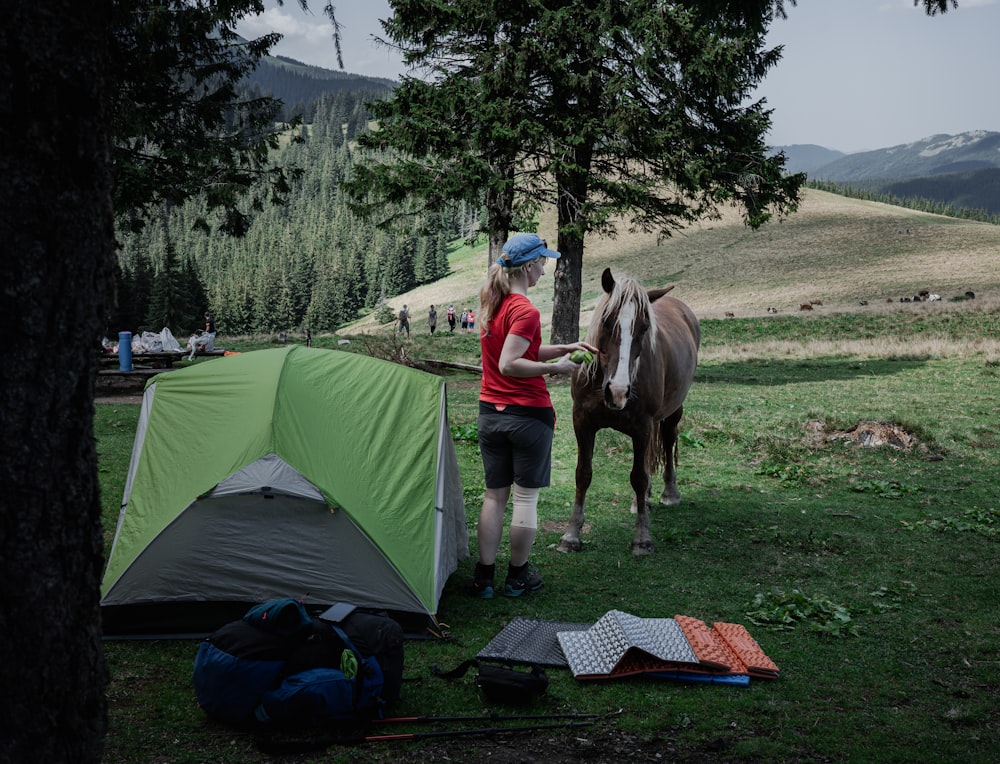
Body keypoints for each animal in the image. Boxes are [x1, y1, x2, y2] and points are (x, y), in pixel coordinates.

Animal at [560, 268, 700, 556]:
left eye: (644, 327)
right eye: (606, 320)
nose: (618, 391)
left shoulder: (642, 426)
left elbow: (639, 478)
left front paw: (642, 539)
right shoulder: (582, 422)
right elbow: (583, 474)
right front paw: (571, 535)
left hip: (671, 413)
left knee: (668, 440)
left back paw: (669, 493)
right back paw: (642, 501)